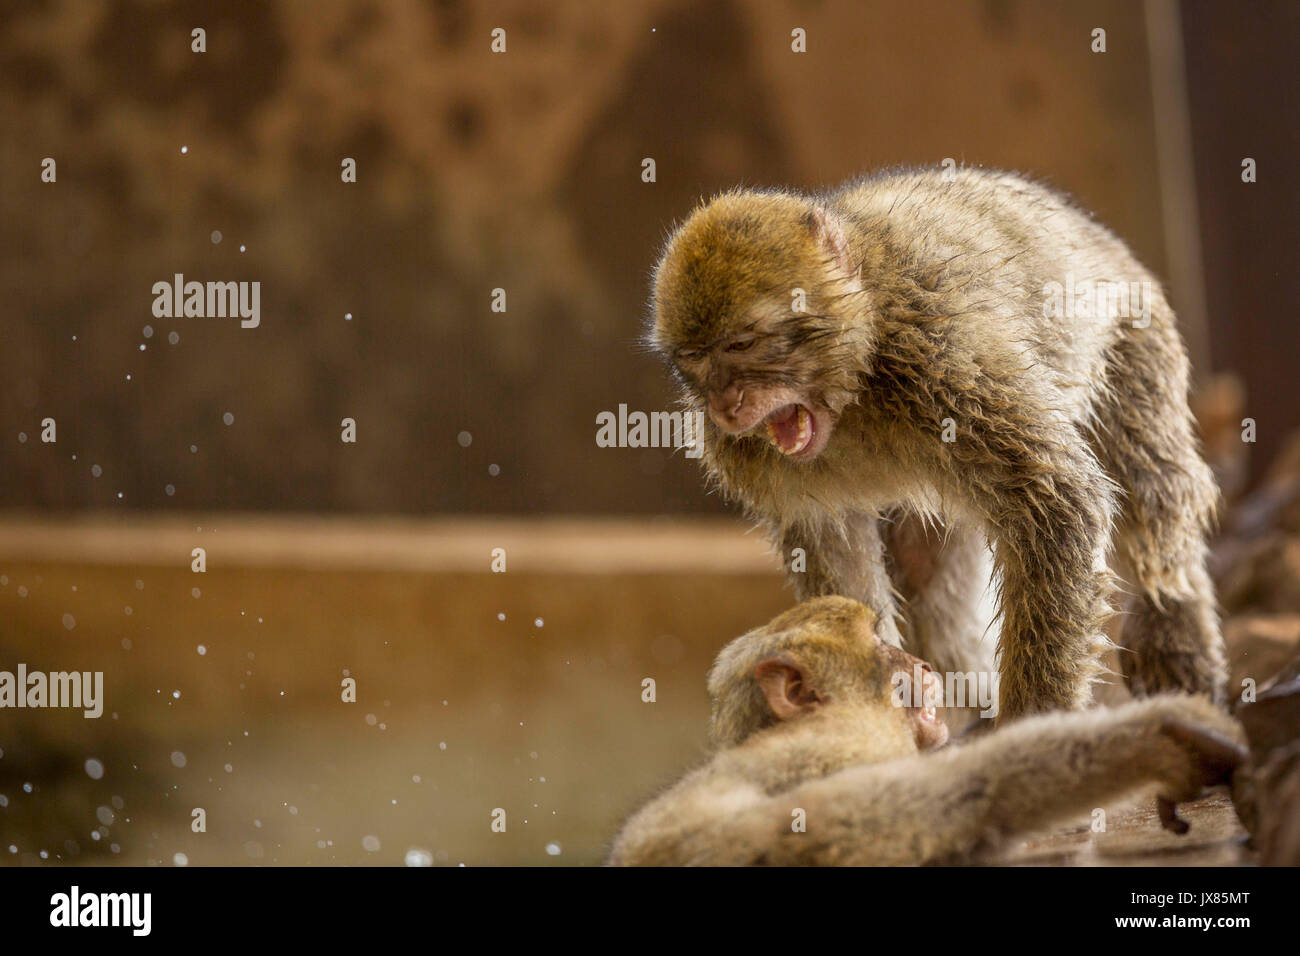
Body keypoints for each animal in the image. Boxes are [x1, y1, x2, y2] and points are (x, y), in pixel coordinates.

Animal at [650, 167, 1227, 723]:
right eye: (695, 359)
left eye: (741, 345)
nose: (726, 403)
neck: (855, 379)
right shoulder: (746, 455)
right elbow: (830, 540)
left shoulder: (941, 361)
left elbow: (1060, 502)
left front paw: (1034, 719)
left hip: (1137, 331)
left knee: (1153, 485)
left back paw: (1173, 623)